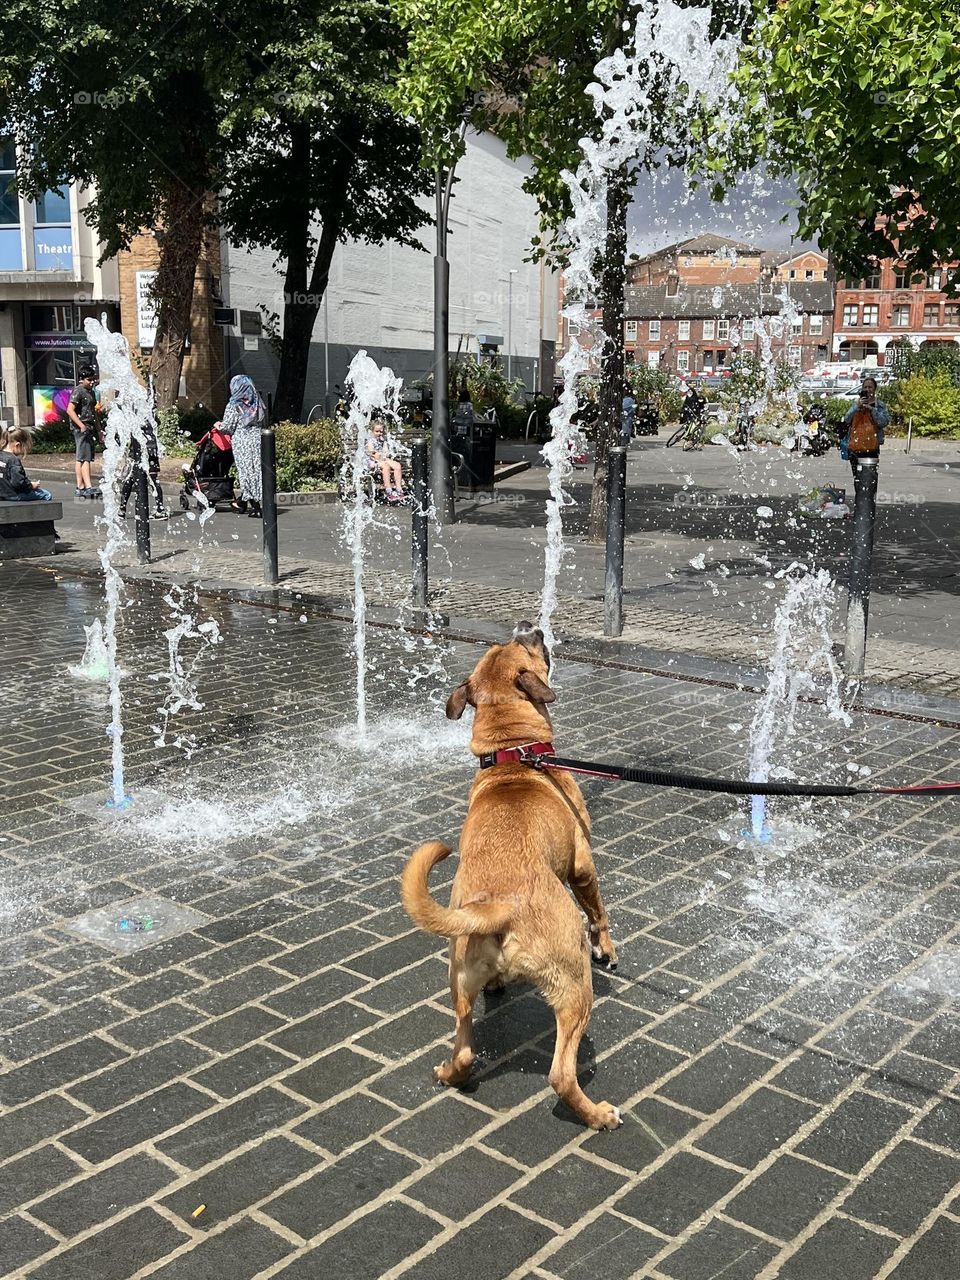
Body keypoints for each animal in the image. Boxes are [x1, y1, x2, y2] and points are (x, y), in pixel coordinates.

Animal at [399, 622, 619, 1131]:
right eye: (527, 646)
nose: (530, 626)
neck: (512, 758)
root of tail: (494, 909)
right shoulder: (583, 866)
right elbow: (599, 912)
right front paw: (608, 949)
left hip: (459, 982)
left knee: (464, 1051)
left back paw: (449, 1072)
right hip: (575, 987)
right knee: (560, 1074)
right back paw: (597, 1115)